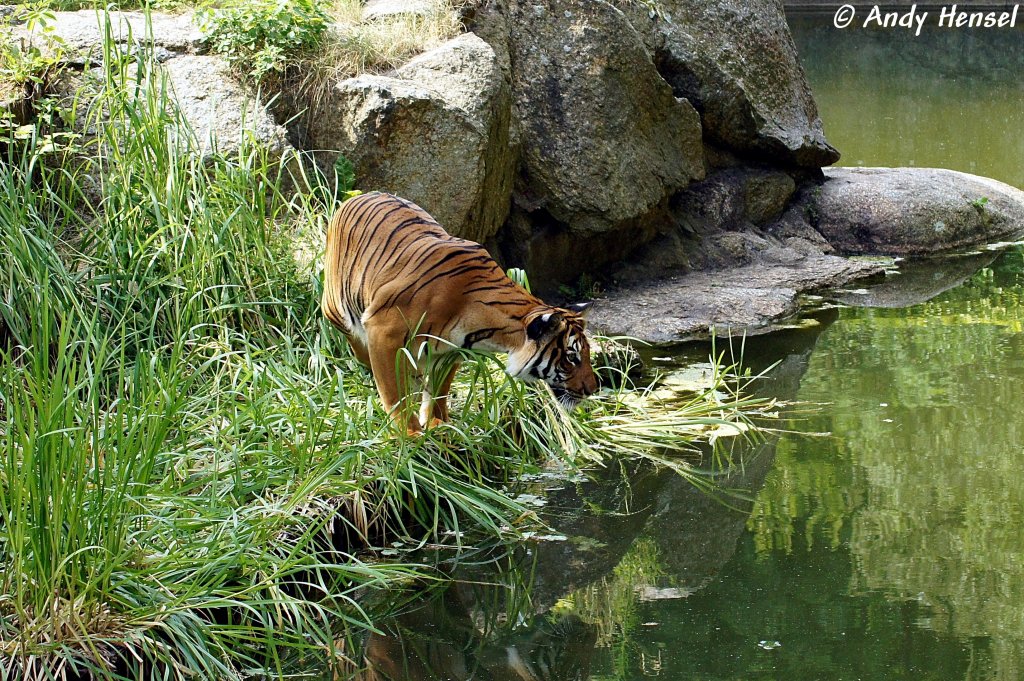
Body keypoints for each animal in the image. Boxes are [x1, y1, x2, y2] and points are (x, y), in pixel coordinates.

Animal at [321, 189, 598, 430]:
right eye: (571, 358)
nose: (593, 389)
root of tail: (360, 196)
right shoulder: (383, 331)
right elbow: (393, 392)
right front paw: (409, 434)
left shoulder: (449, 351)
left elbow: (439, 390)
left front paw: (438, 425)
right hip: (337, 308)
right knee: (358, 345)